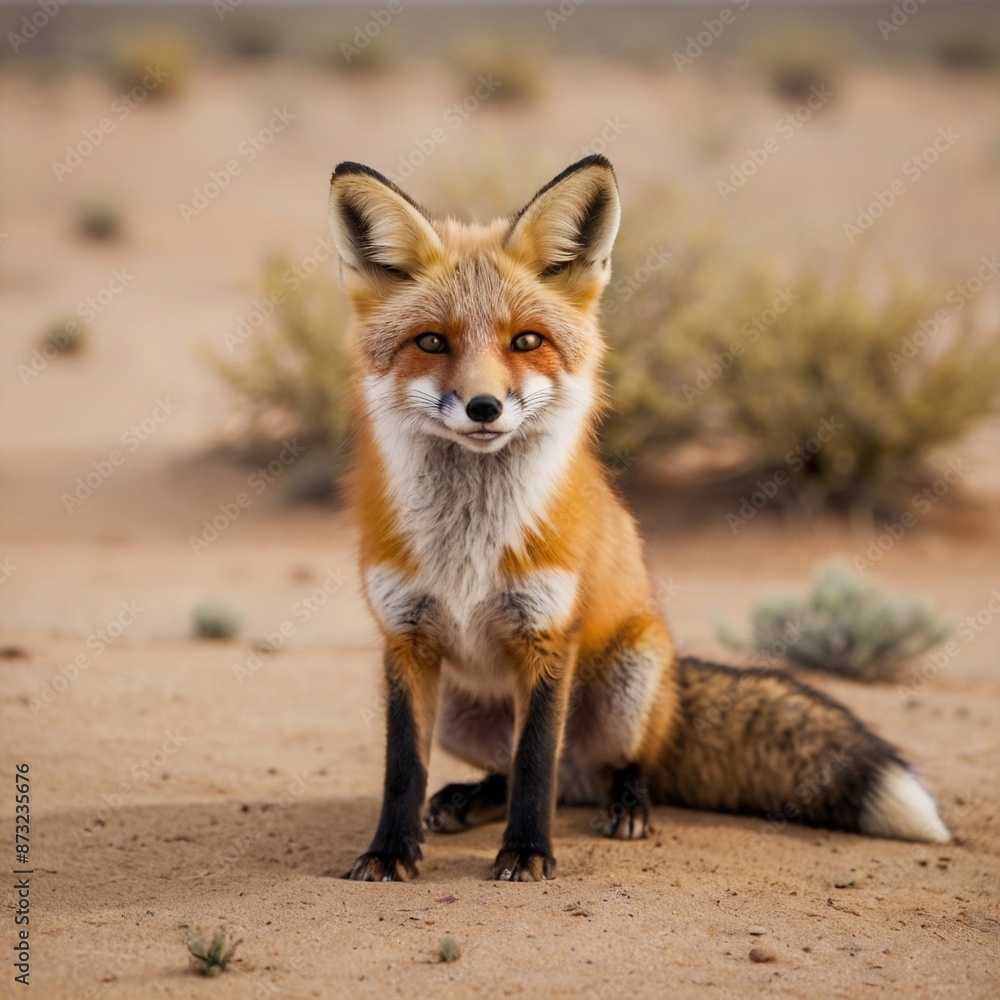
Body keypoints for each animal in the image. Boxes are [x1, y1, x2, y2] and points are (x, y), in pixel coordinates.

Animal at [327, 155, 952, 882]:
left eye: (527, 341)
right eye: (431, 342)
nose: (484, 407)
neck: (469, 548)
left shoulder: (548, 634)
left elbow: (535, 760)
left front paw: (528, 852)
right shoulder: (406, 639)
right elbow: (406, 766)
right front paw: (389, 852)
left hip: (631, 681)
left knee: (604, 766)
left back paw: (626, 804)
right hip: (461, 707)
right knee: (522, 772)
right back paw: (471, 799)